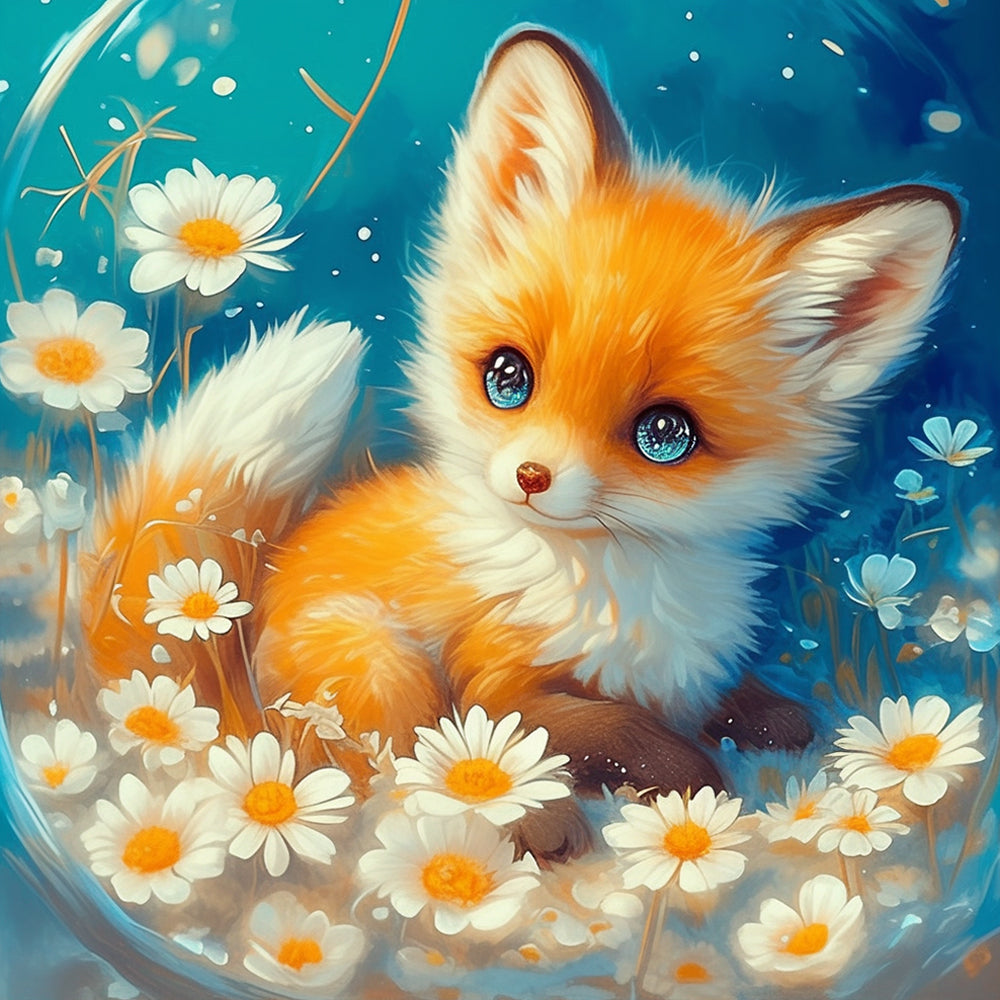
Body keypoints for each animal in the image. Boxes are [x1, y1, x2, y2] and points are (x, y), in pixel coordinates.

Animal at [81, 28, 960, 855]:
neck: (617, 589)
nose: (532, 476)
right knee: (394, 781)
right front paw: (687, 780)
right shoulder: (496, 685)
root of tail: (228, 709)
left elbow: (723, 701)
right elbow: (612, 732)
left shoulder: (681, 670)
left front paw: (770, 721)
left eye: (665, 434)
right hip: (379, 660)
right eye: (508, 378)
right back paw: (534, 828)